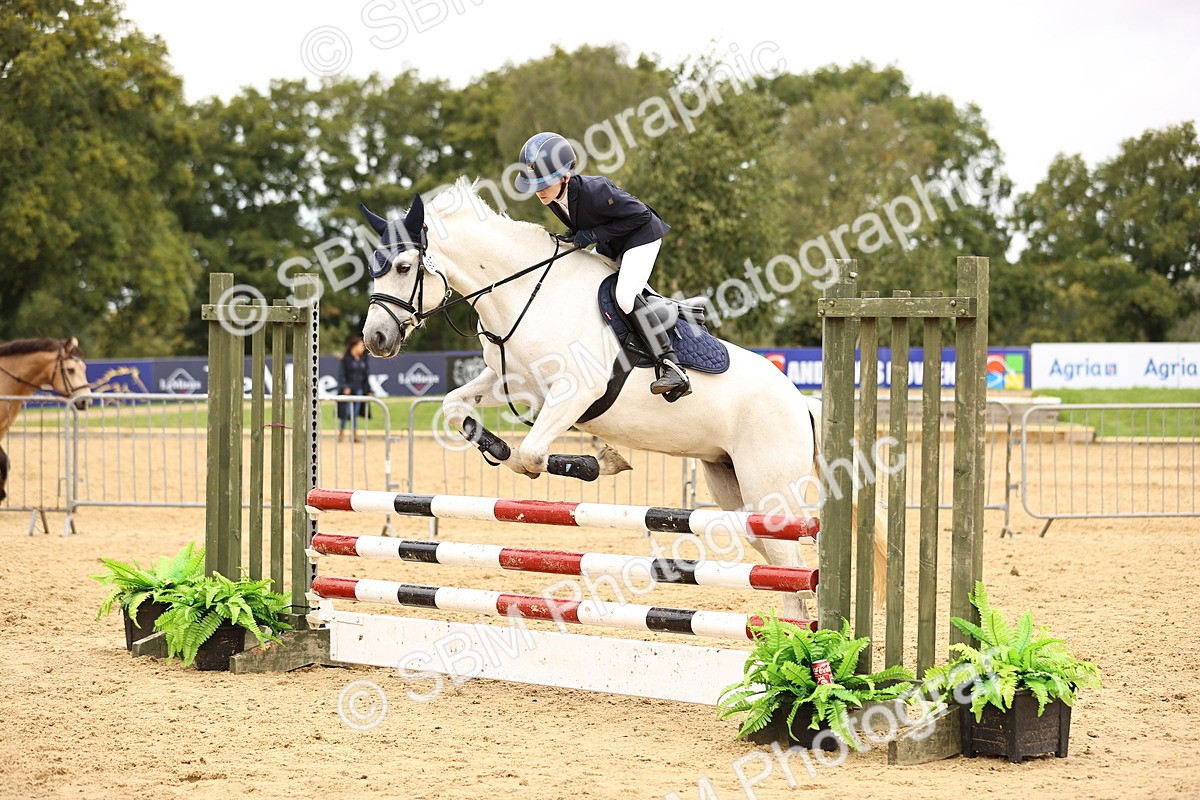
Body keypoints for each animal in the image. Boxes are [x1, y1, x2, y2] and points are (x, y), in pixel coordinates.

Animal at [359, 179, 885, 618]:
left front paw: (602, 462)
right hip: (733, 487)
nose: (375, 339)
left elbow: (532, 455)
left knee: (795, 569)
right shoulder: (512, 382)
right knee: (782, 569)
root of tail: (802, 402)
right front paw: (498, 447)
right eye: (374, 270)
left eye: (404, 267)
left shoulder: (576, 391)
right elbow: (459, 410)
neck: (526, 293)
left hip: (769, 490)